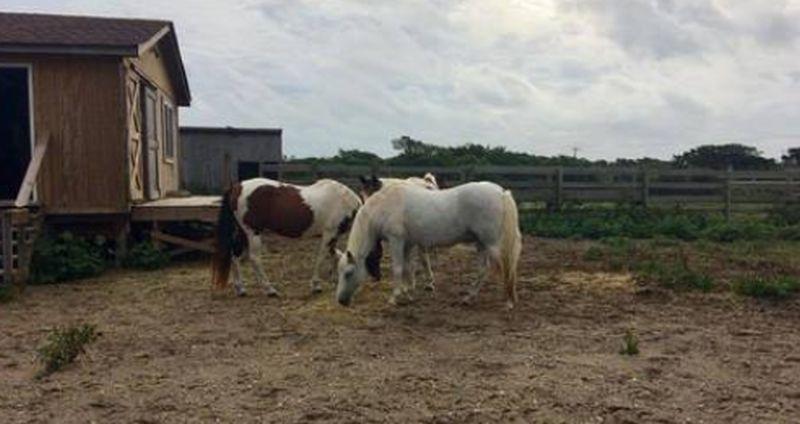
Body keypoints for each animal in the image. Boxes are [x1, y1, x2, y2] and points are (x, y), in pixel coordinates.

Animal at [211, 178, 362, 296]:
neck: (344, 200)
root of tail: (237, 186)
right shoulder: (329, 234)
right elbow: (321, 257)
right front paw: (316, 286)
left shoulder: (333, 237)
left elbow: (335, 255)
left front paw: (334, 279)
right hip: (252, 232)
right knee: (254, 258)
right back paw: (270, 289)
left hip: (243, 233)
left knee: (235, 255)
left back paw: (241, 289)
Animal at [336, 180, 522, 310]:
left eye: (348, 273)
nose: (341, 301)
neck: (383, 206)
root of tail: (501, 192)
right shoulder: (408, 243)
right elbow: (408, 268)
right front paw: (408, 293)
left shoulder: (396, 241)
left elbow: (398, 268)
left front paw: (394, 298)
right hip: (481, 244)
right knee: (483, 271)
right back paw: (469, 298)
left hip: (491, 244)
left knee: (506, 269)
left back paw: (508, 302)